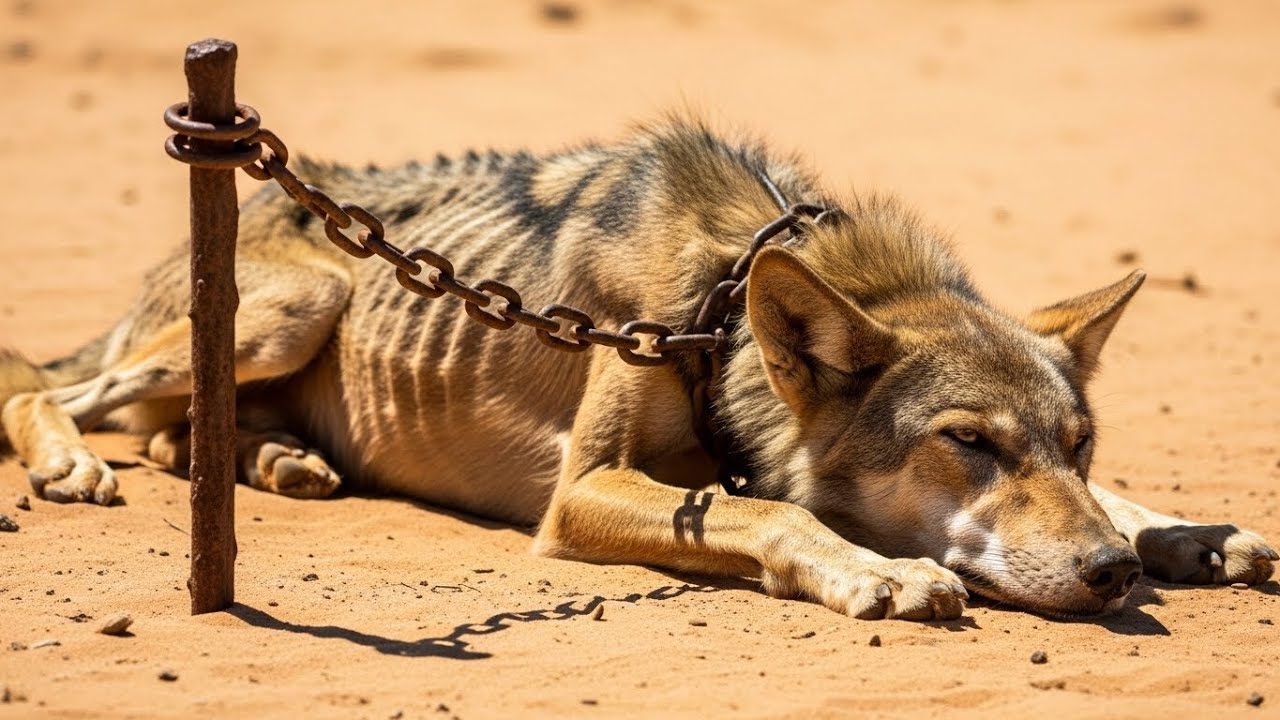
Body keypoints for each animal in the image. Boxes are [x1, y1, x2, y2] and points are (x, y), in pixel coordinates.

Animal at [2, 118, 1274, 620]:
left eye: (1078, 444)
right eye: (967, 444)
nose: (1112, 576)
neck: (719, 302)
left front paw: (1189, 533)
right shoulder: (579, 493)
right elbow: (777, 516)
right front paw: (881, 573)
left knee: (179, 435)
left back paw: (283, 461)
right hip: (297, 305)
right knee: (47, 391)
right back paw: (75, 465)